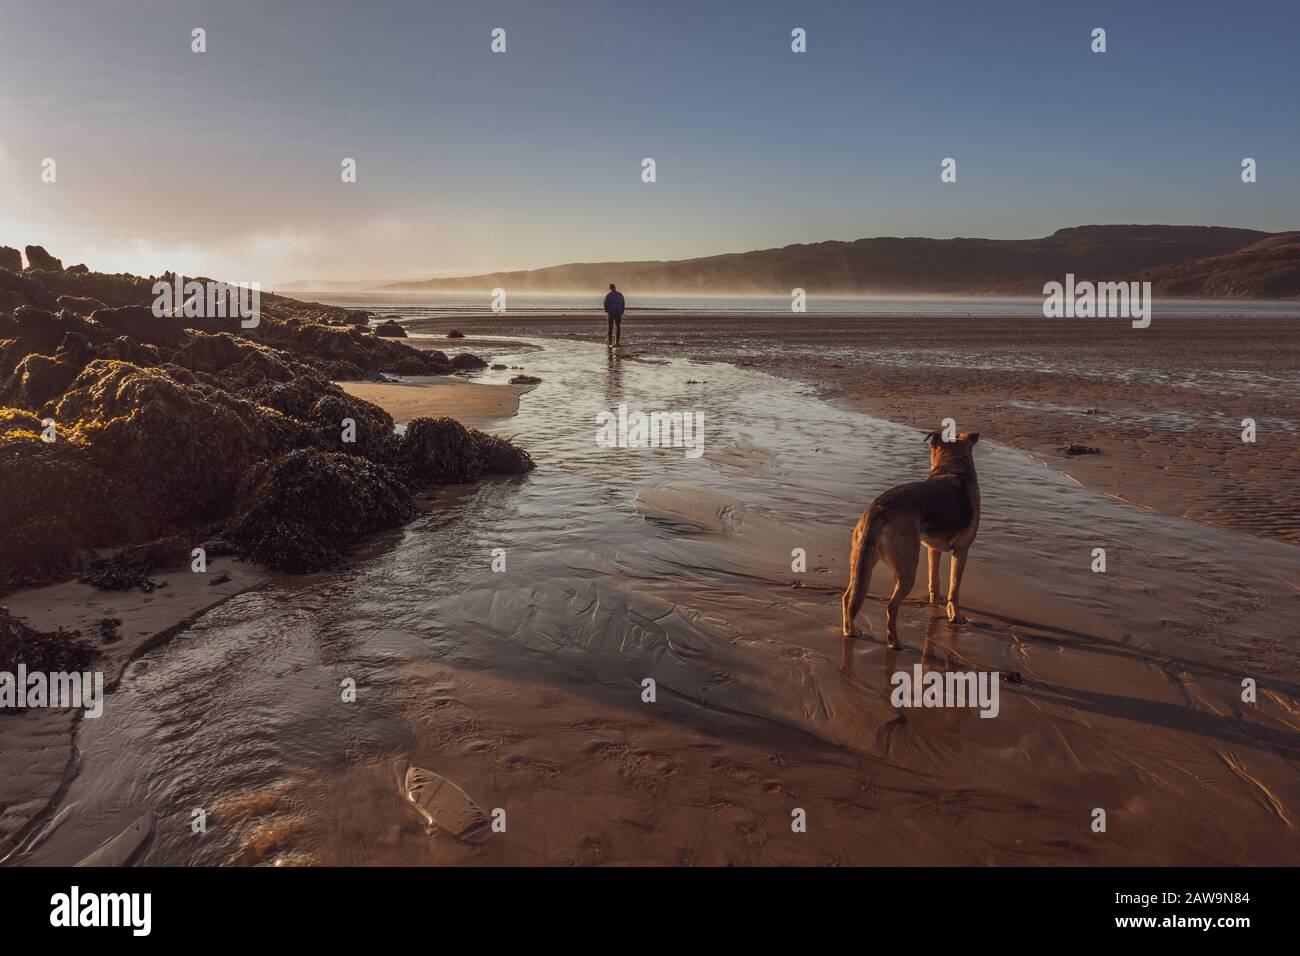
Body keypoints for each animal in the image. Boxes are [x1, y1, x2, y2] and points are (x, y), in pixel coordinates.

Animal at [837, 429, 977, 647]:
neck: (952, 466)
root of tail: (879, 508)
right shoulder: (962, 551)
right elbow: (955, 589)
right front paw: (956, 617)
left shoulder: (933, 550)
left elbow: (934, 582)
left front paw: (935, 604)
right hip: (907, 569)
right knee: (891, 607)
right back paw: (895, 643)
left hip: (862, 563)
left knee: (848, 598)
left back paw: (850, 631)